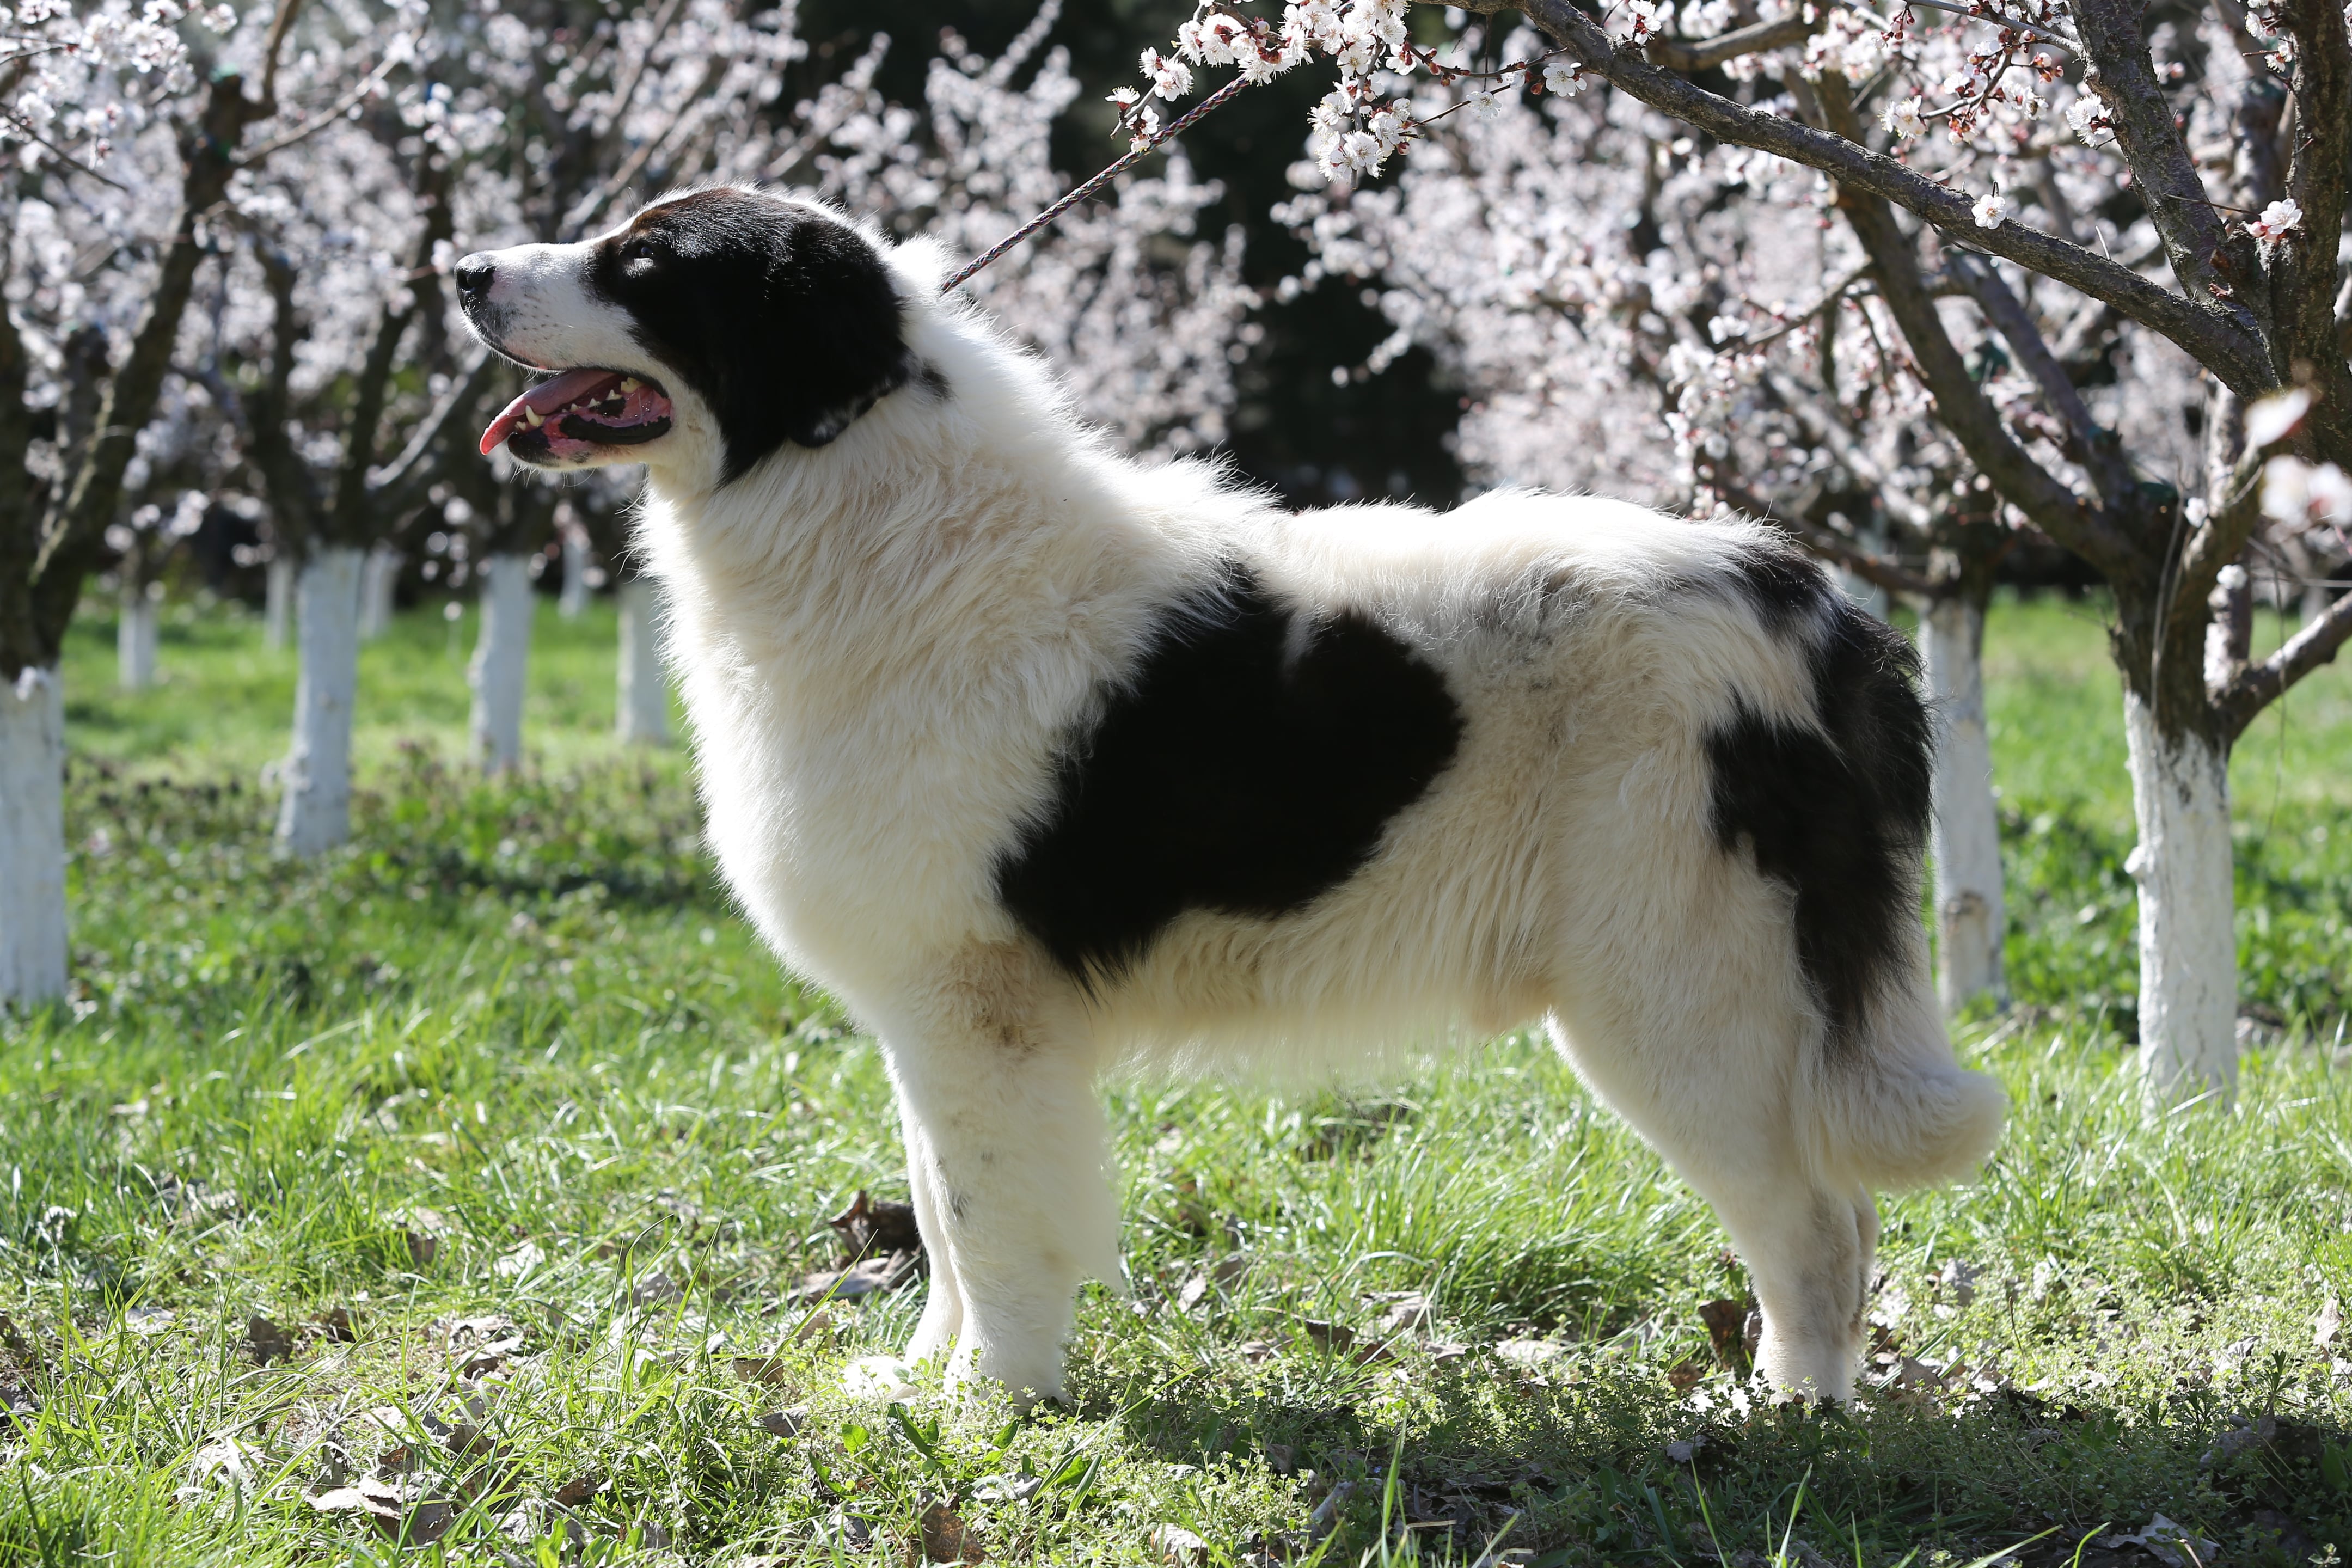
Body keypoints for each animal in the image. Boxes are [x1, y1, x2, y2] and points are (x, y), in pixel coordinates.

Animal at [454, 187, 2004, 1410]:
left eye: (645, 266)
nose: (462, 268)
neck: (859, 501)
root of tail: (1812, 602)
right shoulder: (929, 1007)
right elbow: (943, 1211)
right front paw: (930, 1374)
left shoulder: (975, 1000)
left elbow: (990, 1214)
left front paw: (992, 1401)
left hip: (1679, 997)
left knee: (1816, 1221)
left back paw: (1788, 1415)